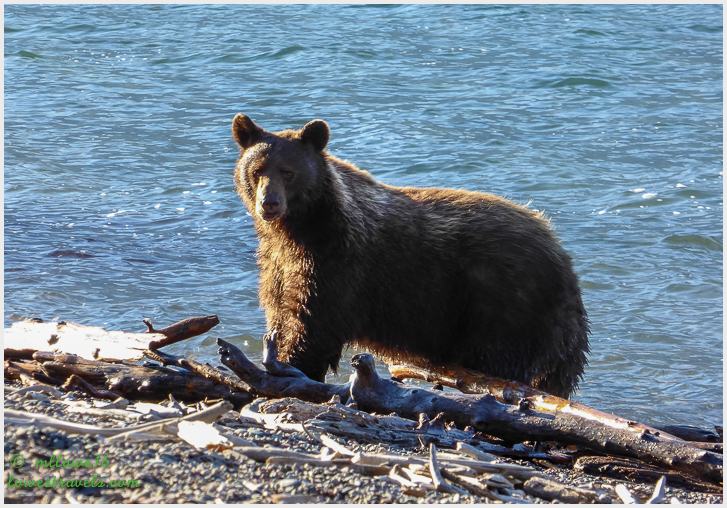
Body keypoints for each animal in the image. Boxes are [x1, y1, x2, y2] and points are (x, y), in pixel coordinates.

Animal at [232, 114, 590, 398]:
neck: (297, 230)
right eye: (258, 170)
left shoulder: (336, 265)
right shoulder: (280, 263)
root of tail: (561, 253)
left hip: (503, 301)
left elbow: (311, 326)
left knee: (501, 359)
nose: (269, 203)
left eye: (288, 171)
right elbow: (282, 312)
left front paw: (290, 368)